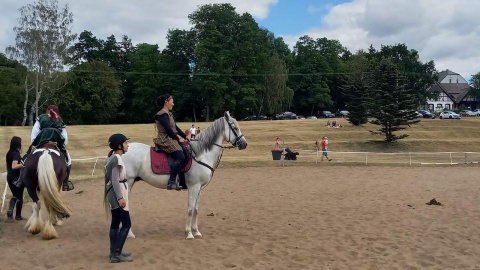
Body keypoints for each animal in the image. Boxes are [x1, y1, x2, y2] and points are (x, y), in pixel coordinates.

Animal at [122, 112, 248, 240]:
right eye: (234, 127)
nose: (244, 144)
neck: (199, 155)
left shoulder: (199, 188)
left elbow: (196, 209)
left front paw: (196, 231)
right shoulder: (194, 187)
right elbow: (190, 209)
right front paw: (189, 233)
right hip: (128, 182)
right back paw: (129, 234)